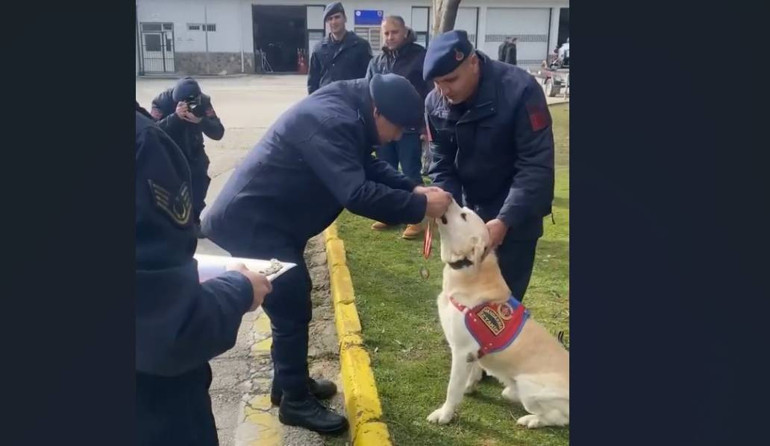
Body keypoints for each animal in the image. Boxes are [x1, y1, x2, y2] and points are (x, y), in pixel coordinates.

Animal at [426, 200, 569, 428]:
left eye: (464, 215)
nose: (448, 198)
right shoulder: (474, 351)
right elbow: (472, 372)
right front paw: (470, 386)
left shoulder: (461, 350)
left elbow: (452, 388)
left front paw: (445, 414)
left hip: (529, 385)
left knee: (559, 417)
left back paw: (531, 419)